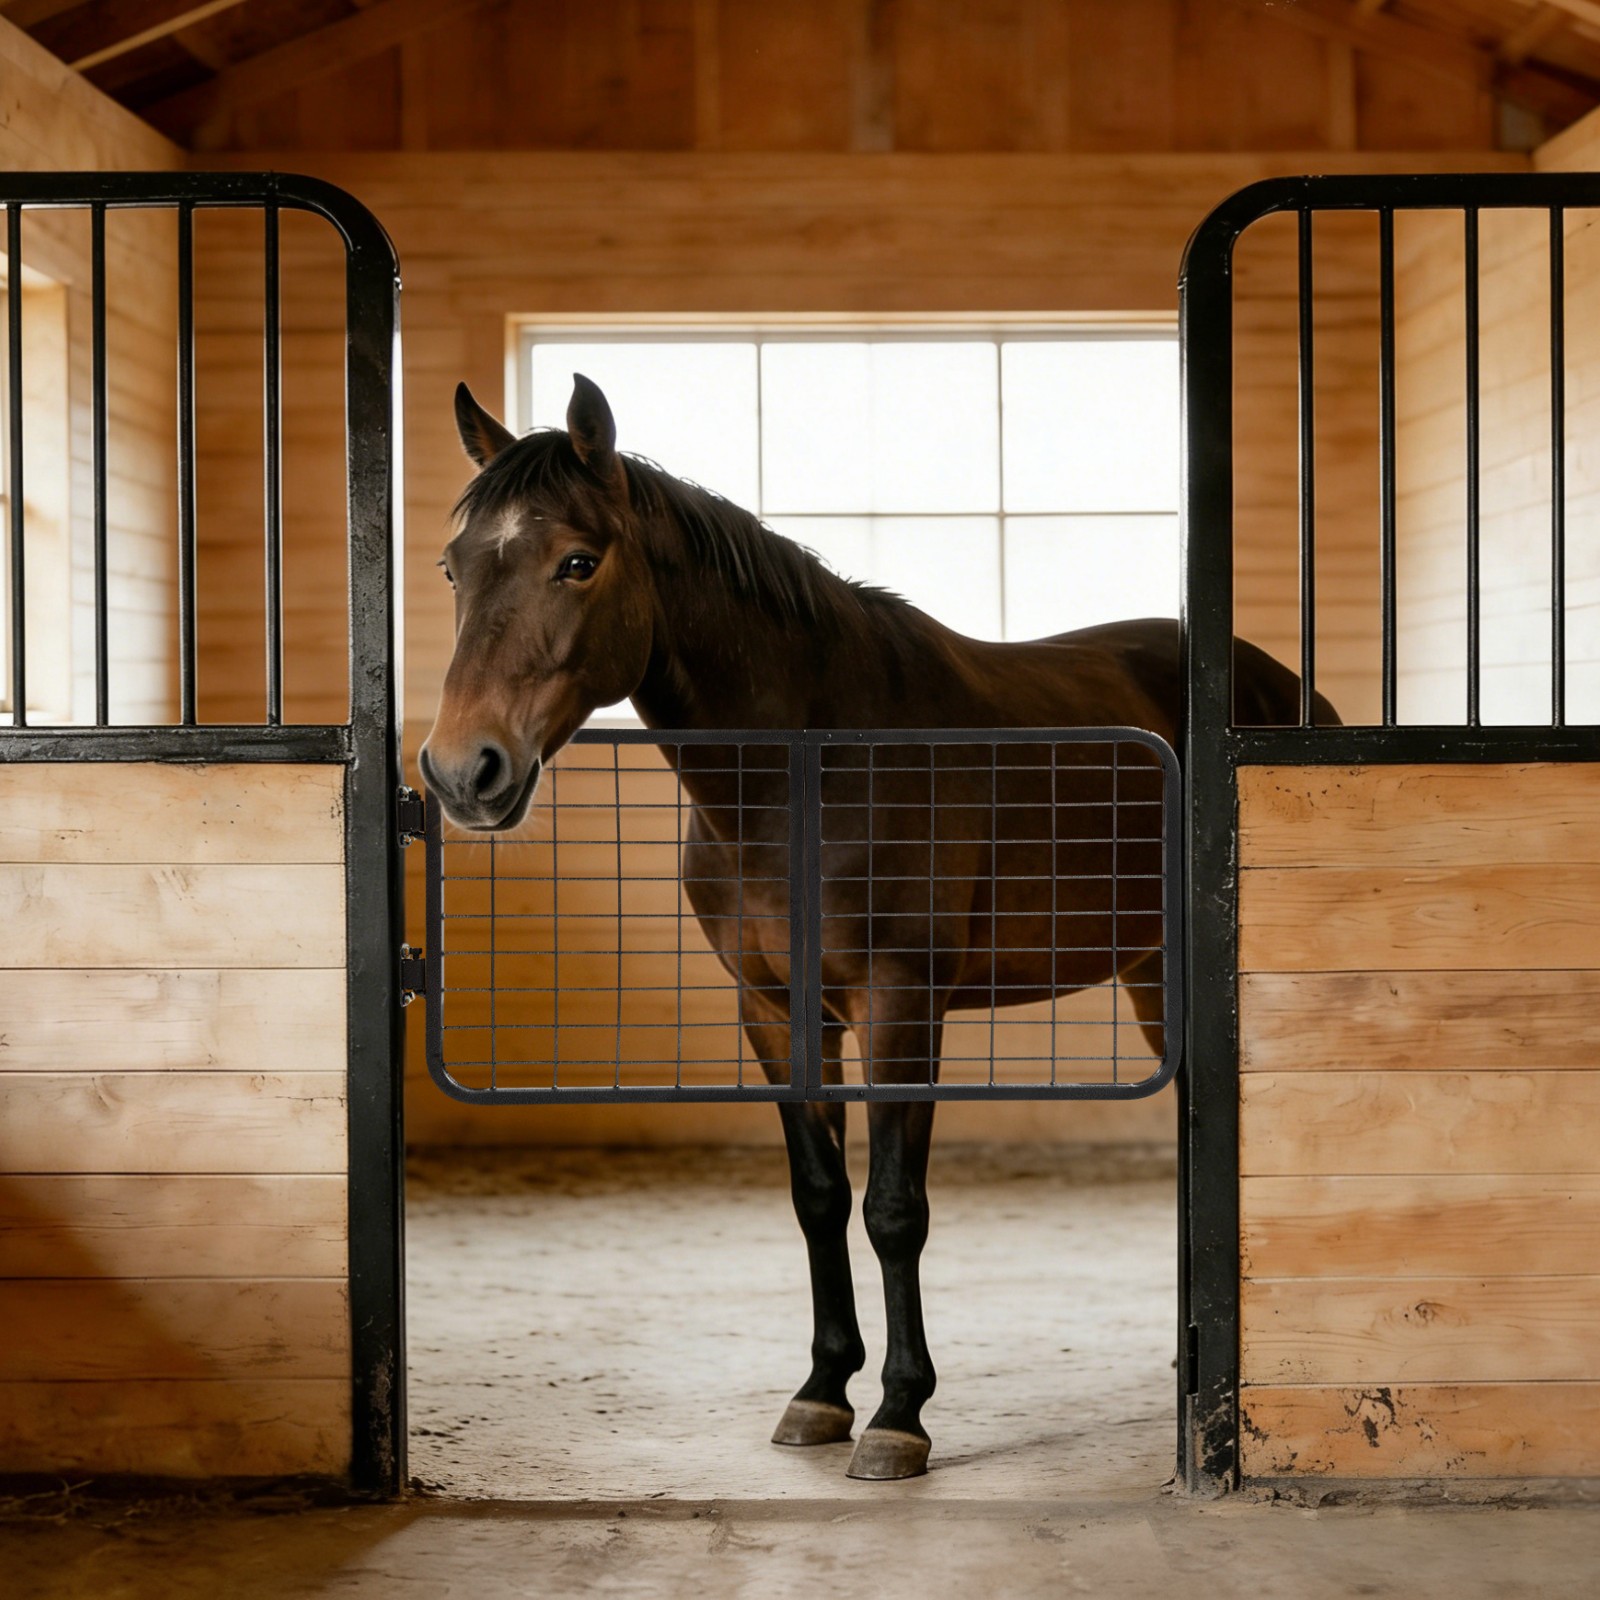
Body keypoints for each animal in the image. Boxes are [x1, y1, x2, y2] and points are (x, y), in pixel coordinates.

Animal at [420, 373, 1335, 1481]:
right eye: (454, 565)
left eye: (578, 561)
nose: (464, 769)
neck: (809, 768)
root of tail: (1284, 685)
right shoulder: (777, 1010)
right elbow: (818, 1192)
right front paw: (821, 1391)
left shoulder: (900, 1006)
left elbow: (894, 1208)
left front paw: (900, 1413)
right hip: (1155, 974)